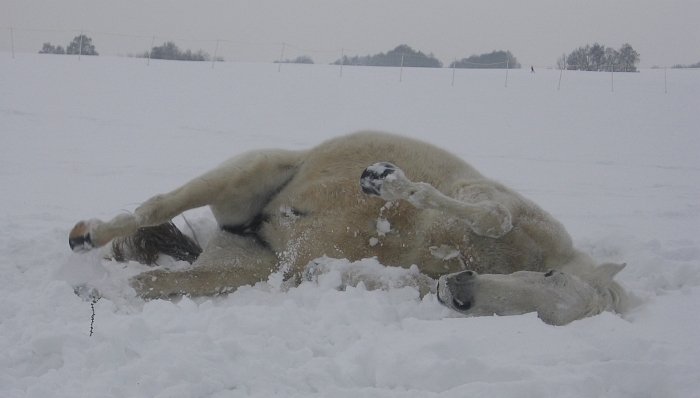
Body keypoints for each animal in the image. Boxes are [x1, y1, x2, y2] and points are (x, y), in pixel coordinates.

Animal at [69, 132, 628, 324]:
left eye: (544, 319)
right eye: (552, 280)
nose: (460, 293)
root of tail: (257, 225)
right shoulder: (487, 199)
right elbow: (492, 216)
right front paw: (386, 181)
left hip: (245, 268)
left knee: (157, 281)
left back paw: (96, 293)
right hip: (246, 171)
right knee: (153, 208)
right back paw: (85, 235)